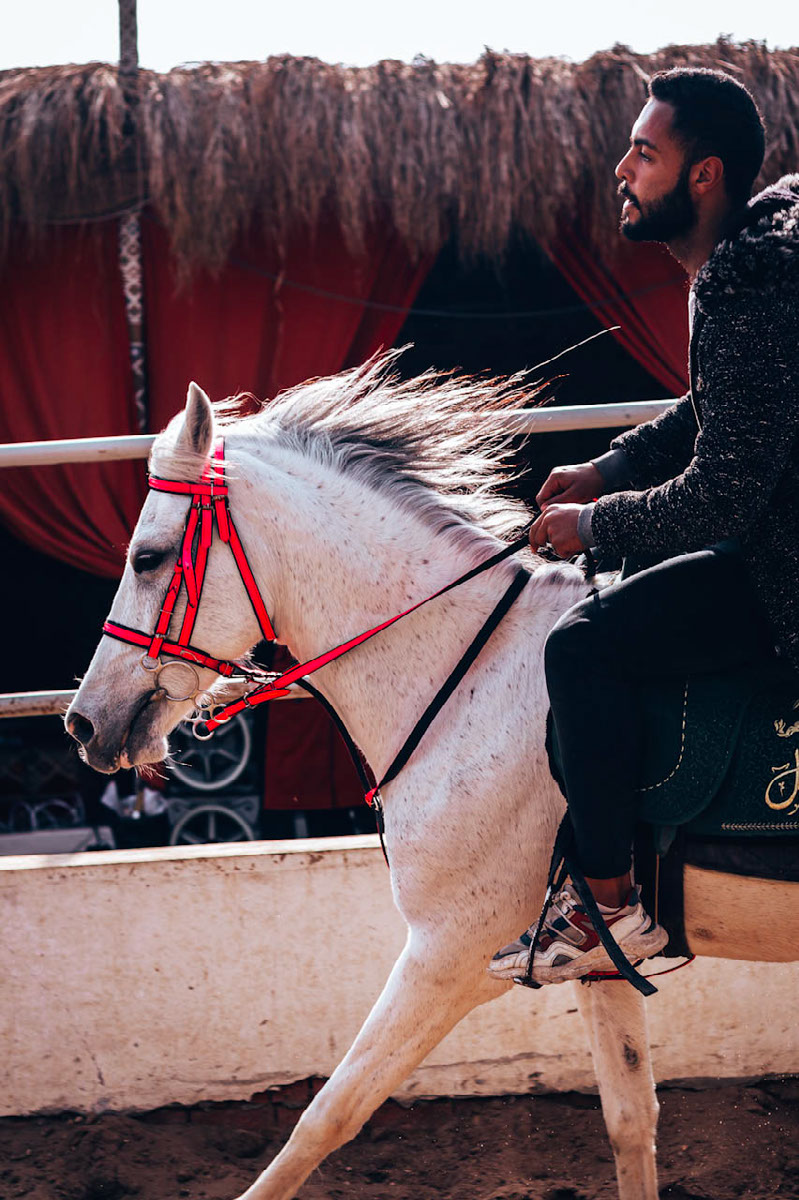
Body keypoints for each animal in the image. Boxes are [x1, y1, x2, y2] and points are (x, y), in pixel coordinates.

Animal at [66, 358, 799, 1200]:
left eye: (147, 557)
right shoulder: (596, 962)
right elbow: (629, 1123)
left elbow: (326, 1116)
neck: (469, 673)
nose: (83, 723)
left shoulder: (447, 954)